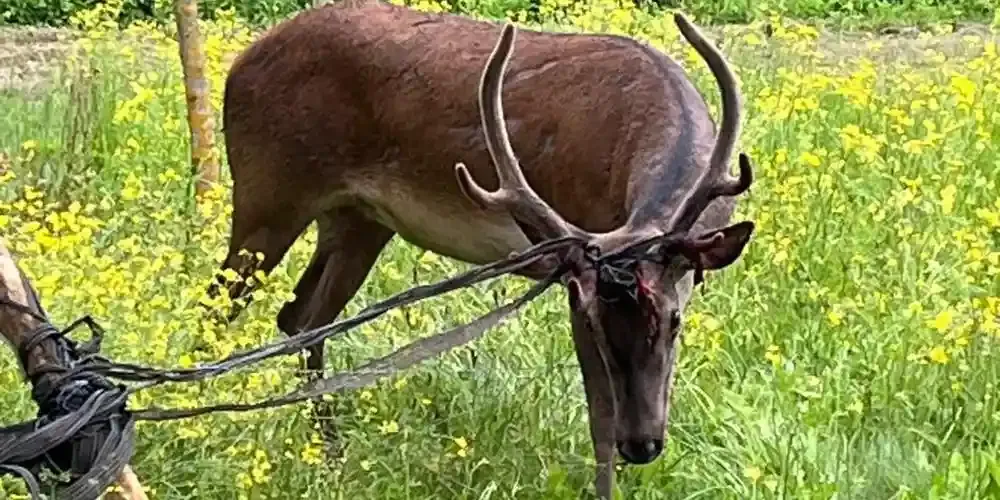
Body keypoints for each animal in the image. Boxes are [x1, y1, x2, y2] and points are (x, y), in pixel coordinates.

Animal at [208, 0, 754, 496]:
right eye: (596, 323)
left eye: (675, 320)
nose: (642, 445)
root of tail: (239, 63)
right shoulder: (574, 278)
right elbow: (599, 417)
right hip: (268, 190)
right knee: (217, 307)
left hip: (358, 220)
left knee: (301, 319)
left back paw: (331, 457)